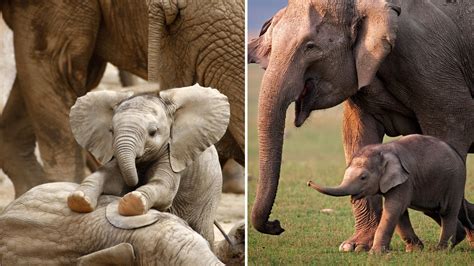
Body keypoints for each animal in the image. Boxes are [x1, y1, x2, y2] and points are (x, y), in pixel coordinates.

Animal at [66, 85, 230, 247]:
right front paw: (79, 199)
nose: (135, 184)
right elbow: (108, 177)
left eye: (153, 132)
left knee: (204, 229)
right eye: (111, 131)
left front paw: (132, 201)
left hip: (210, 193)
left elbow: (164, 187)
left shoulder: (172, 154)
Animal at [310, 135, 472, 254]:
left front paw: (375, 254)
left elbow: (393, 208)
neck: (383, 150)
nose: (308, 182)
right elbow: (399, 212)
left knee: (447, 212)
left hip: (455, 181)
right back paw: (455, 240)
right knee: (433, 211)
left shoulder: (405, 180)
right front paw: (413, 250)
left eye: (363, 177)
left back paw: (440, 250)